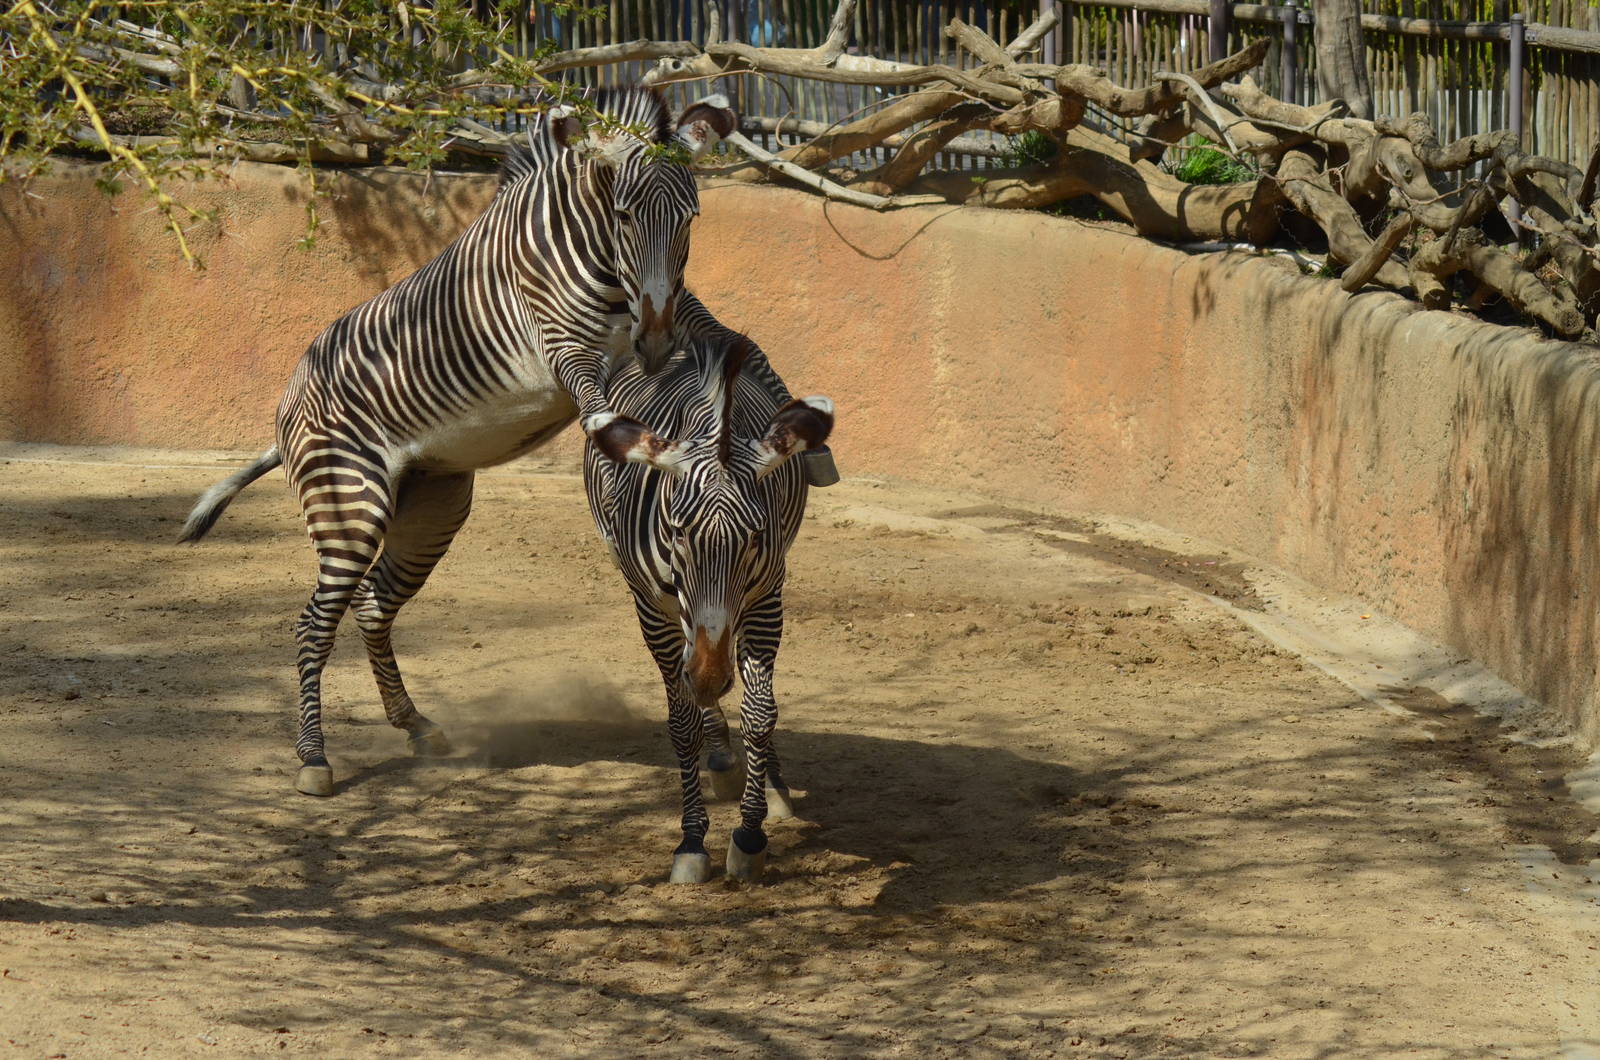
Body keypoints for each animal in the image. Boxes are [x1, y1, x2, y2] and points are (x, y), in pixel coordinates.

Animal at [178, 86, 759, 799]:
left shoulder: (675, 311)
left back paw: (415, 725)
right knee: (314, 622)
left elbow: (721, 341)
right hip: (349, 506)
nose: (652, 340)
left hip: (431, 508)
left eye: (691, 218)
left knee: (372, 605)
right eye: (623, 215)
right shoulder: (562, 348)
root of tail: (286, 409)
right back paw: (313, 758)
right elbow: (605, 413)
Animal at [585, 332, 834, 883]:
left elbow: (760, 713)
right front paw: (693, 840)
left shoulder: (765, 598)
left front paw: (750, 835)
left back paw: (769, 781)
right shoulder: (653, 609)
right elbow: (682, 724)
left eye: (756, 535)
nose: (709, 675)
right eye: (678, 531)